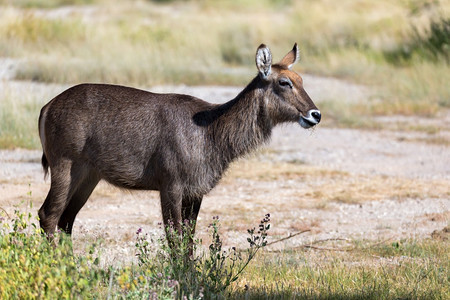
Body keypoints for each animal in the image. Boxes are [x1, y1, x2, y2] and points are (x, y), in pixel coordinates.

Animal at [37, 42, 320, 246]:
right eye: (284, 82)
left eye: (302, 80)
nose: (315, 114)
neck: (211, 131)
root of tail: (47, 106)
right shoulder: (171, 186)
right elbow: (175, 240)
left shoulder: (195, 192)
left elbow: (188, 240)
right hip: (65, 165)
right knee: (48, 214)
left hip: (89, 176)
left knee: (66, 220)